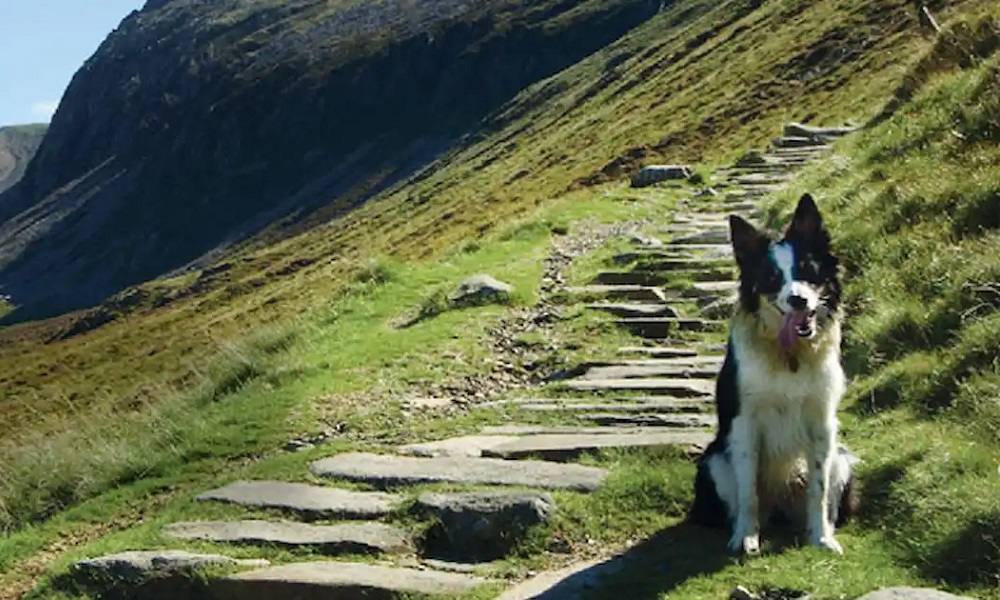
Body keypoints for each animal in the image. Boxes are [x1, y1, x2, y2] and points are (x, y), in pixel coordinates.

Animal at [688, 195, 860, 556]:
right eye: (771, 277)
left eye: (808, 270)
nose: (798, 300)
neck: (788, 355)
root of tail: (780, 507)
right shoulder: (745, 424)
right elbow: (748, 491)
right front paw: (745, 538)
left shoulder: (822, 423)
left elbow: (818, 490)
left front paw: (821, 538)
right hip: (714, 463)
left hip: (842, 459)